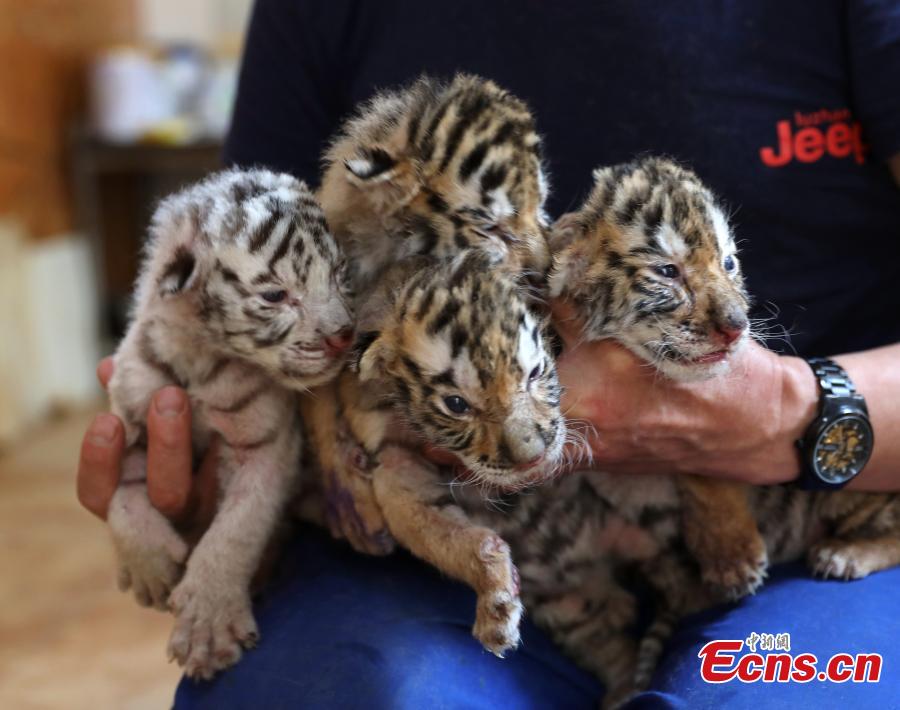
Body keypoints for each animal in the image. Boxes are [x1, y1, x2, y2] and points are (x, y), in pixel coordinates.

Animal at [107, 169, 353, 679]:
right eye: (275, 295)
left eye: (341, 276)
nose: (345, 336)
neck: (201, 357)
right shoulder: (130, 412)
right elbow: (120, 489)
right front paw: (149, 569)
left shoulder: (265, 445)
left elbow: (237, 529)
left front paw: (208, 625)